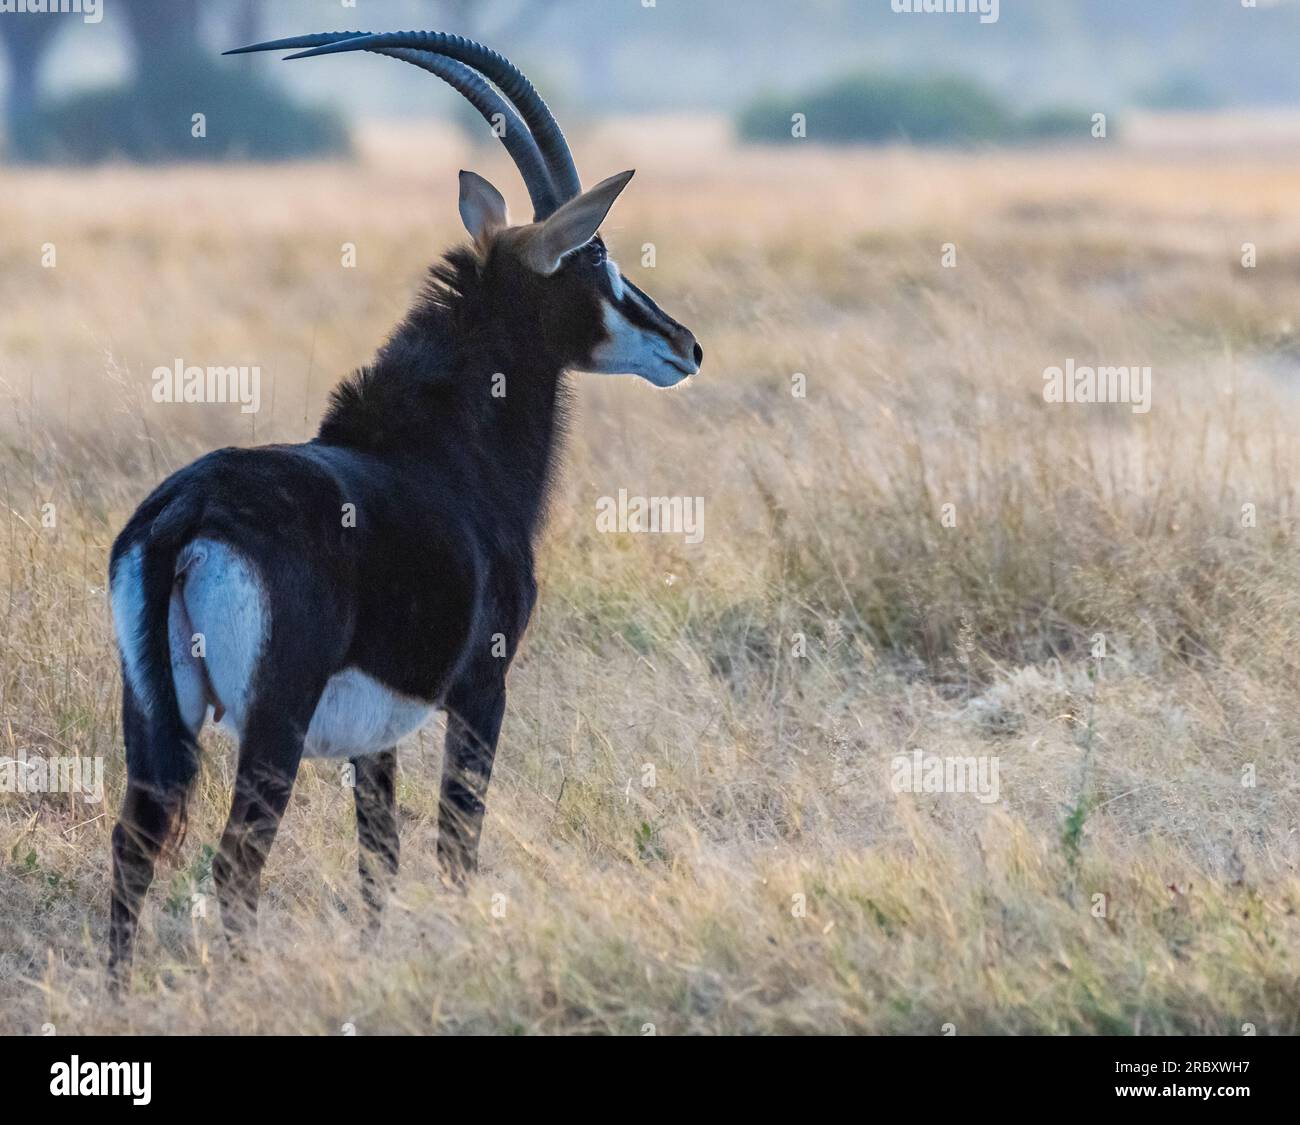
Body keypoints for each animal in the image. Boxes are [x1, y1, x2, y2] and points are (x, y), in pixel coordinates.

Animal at [107, 30, 702, 983]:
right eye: (600, 260)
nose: (685, 344)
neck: (445, 447)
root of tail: (184, 517)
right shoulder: (483, 687)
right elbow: (457, 844)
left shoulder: (372, 735)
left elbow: (377, 861)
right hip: (272, 720)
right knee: (236, 860)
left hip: (156, 714)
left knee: (134, 846)